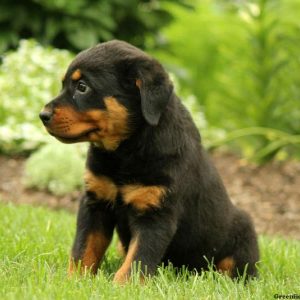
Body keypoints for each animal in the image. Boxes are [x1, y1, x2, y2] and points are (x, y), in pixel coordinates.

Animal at [39, 40, 258, 284]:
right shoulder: (94, 203)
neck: (124, 152)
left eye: (82, 87)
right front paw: (75, 281)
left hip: (242, 233)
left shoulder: (156, 214)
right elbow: (84, 248)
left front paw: (122, 286)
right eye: (64, 84)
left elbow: (138, 259)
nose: (42, 115)